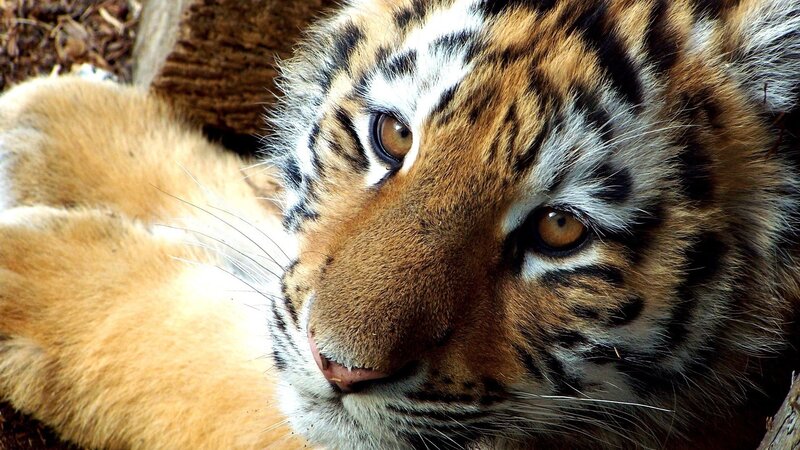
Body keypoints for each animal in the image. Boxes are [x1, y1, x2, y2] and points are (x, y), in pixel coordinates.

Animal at [0, 0, 799, 448]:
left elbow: (183, 351)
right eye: (390, 135)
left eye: (560, 230)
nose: (338, 368)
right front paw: (54, 128)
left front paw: (27, 277)